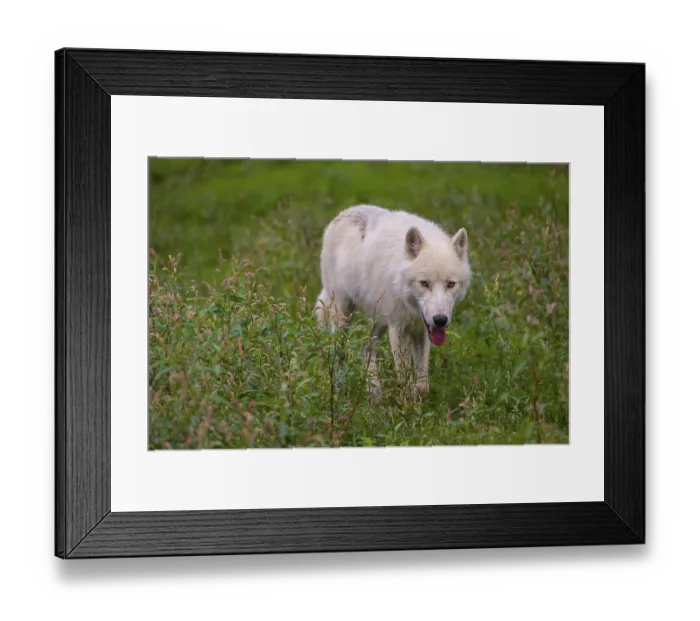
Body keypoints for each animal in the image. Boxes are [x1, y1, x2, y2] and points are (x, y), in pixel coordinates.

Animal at [314, 205, 472, 397]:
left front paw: (415, 400)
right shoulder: (398, 328)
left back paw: (374, 392)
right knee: (338, 352)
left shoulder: (421, 329)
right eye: (424, 283)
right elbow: (403, 378)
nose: (440, 320)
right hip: (344, 315)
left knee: (367, 348)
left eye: (450, 284)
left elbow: (422, 386)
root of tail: (346, 212)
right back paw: (340, 388)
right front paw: (405, 402)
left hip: (381, 320)